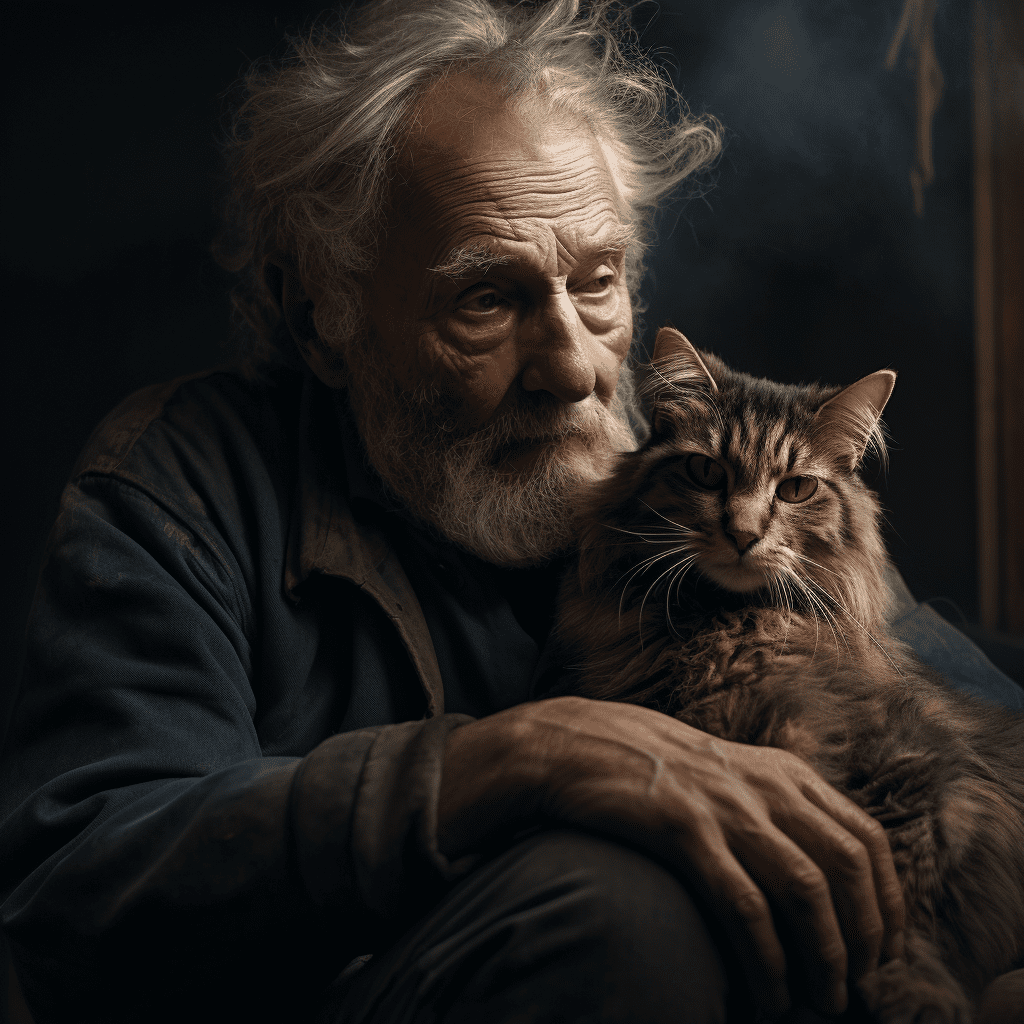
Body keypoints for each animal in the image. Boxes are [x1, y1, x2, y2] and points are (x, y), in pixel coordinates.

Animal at [557, 329, 1019, 1024]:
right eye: (705, 472)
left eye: (797, 489)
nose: (744, 534)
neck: (729, 630)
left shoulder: (919, 770)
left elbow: (903, 906)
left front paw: (909, 996)